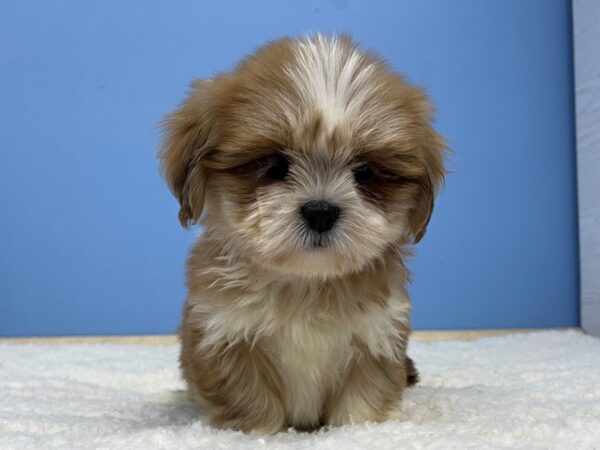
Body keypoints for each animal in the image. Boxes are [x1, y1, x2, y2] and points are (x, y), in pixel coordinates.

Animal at [159, 33, 446, 434]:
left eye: (364, 172)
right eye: (276, 167)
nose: (321, 211)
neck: (306, 283)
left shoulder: (377, 335)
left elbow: (363, 397)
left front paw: (358, 431)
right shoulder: (224, 333)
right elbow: (251, 398)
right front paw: (257, 432)